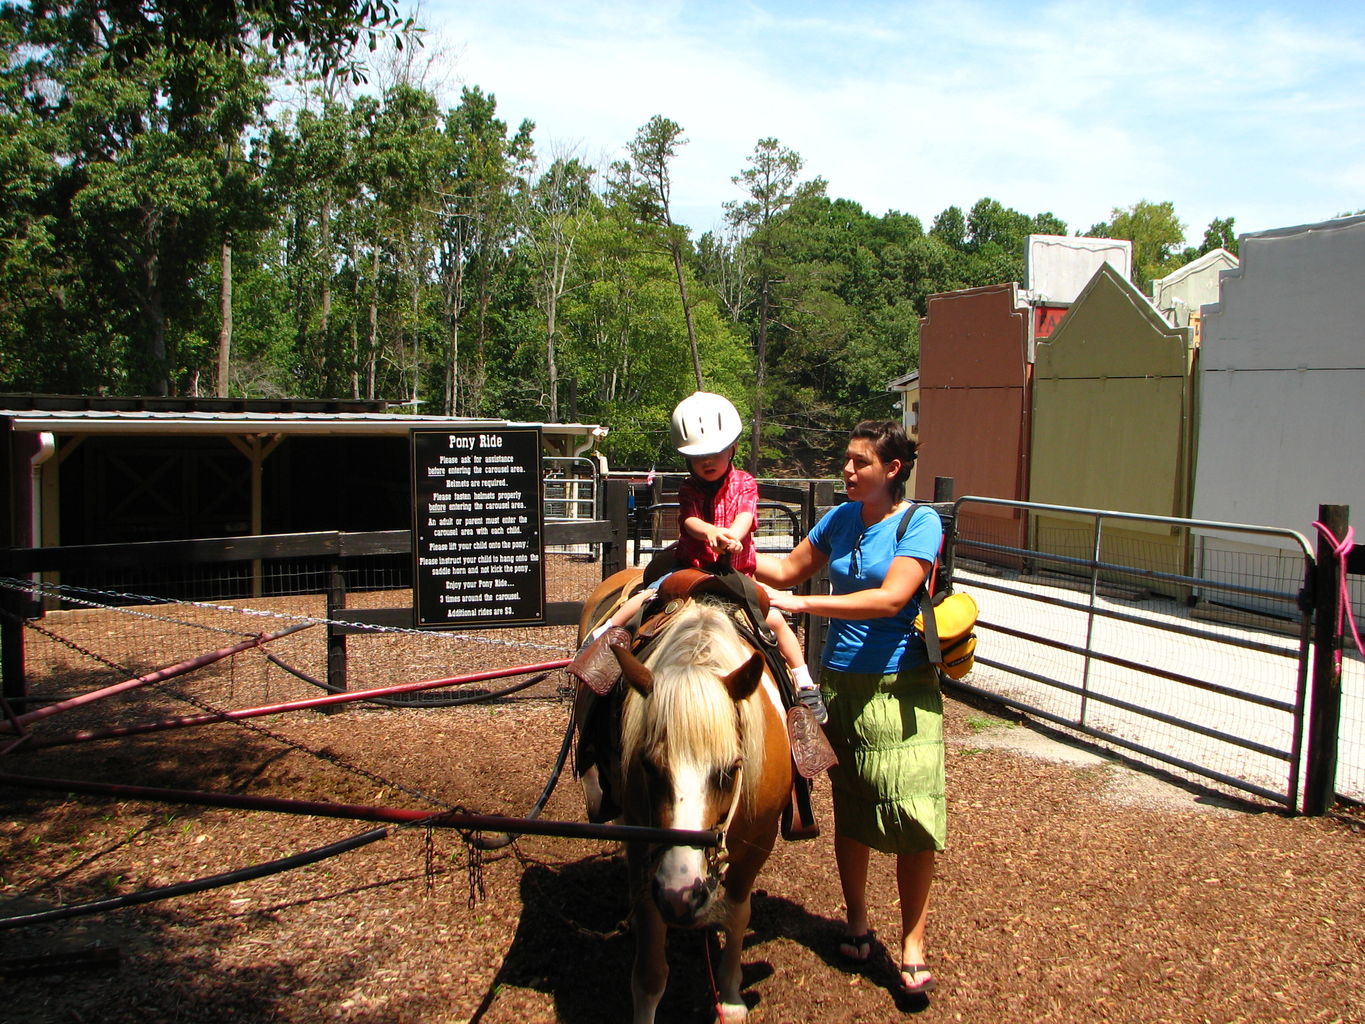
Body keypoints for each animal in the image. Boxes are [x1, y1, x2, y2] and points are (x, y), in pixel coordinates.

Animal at [573, 573, 791, 1021]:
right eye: (649, 765)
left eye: (731, 769)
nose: (681, 893)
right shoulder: (645, 841)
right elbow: (650, 974)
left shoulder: (759, 840)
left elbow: (738, 913)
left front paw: (731, 997)